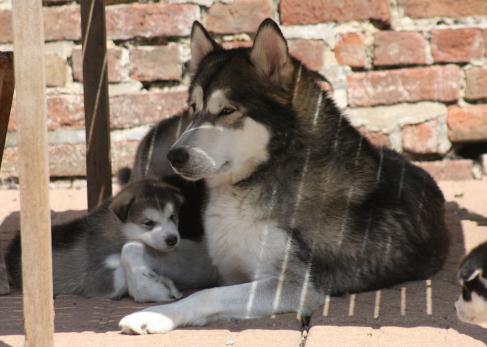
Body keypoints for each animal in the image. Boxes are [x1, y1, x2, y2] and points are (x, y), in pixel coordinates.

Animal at [5, 181, 212, 304]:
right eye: (148, 223)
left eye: (173, 217)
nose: (172, 239)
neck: (118, 231)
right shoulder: (95, 279)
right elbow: (122, 270)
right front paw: (155, 288)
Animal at [119, 18, 450, 334]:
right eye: (193, 108)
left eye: (226, 111)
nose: (174, 156)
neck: (260, 175)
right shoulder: (219, 261)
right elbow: (133, 248)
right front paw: (149, 287)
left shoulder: (295, 285)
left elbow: (206, 295)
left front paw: (154, 317)